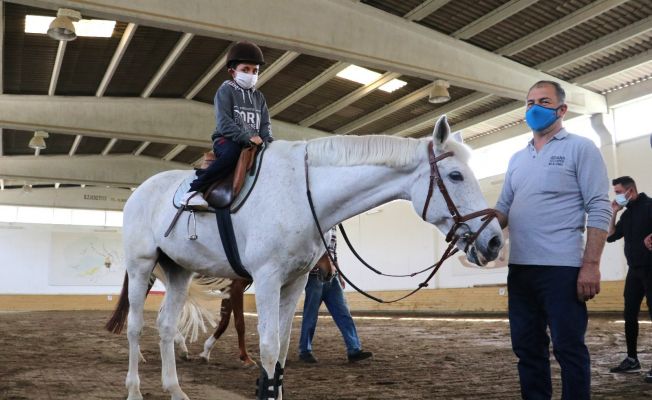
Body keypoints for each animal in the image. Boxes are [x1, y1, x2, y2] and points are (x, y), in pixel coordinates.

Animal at [107, 116, 504, 400]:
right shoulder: (266, 280)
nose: (495, 240)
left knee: (165, 326)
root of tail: (140, 191)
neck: (302, 193)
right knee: (136, 327)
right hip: (142, 267)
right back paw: (134, 390)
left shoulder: (294, 282)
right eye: (455, 175)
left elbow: (282, 350)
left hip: (178, 272)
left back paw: (175, 389)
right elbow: (268, 349)